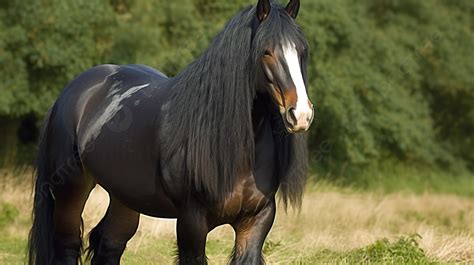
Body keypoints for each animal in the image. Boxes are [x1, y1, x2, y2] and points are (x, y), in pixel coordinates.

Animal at [27, 0, 312, 262]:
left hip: (125, 198)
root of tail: (74, 91)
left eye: (301, 51)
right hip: (71, 189)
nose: (300, 115)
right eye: (266, 52)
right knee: (67, 244)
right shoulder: (191, 221)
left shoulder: (256, 221)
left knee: (109, 244)